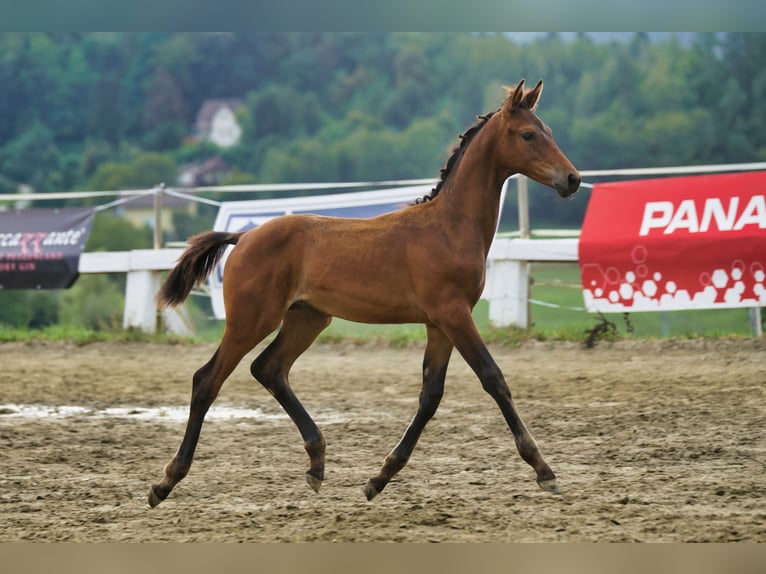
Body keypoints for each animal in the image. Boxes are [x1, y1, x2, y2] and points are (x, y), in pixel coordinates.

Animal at [148, 81, 584, 508]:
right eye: (527, 134)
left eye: (548, 131)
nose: (572, 179)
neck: (449, 226)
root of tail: (244, 236)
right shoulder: (455, 315)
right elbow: (493, 378)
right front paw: (544, 471)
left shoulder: (439, 323)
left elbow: (431, 395)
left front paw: (379, 479)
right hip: (251, 320)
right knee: (208, 379)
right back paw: (166, 481)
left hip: (308, 318)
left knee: (269, 368)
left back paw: (316, 462)